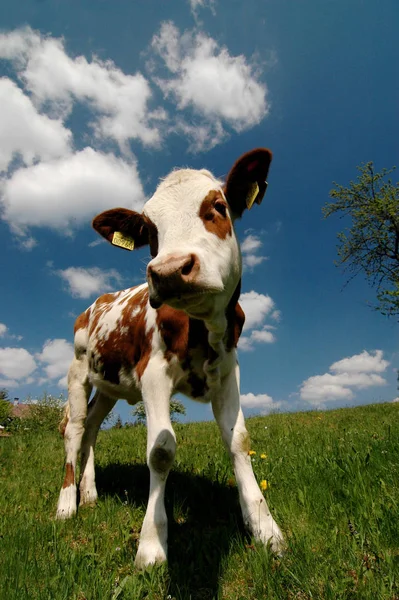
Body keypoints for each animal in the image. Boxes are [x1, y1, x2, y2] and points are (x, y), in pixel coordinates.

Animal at [57, 149, 284, 568]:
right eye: (149, 230)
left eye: (218, 207)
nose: (169, 271)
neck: (203, 329)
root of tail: (97, 302)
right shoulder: (153, 374)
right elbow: (161, 451)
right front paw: (151, 545)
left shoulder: (229, 372)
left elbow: (239, 441)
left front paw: (265, 528)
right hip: (78, 370)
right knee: (75, 429)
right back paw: (67, 504)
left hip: (109, 384)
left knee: (93, 427)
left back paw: (90, 493)